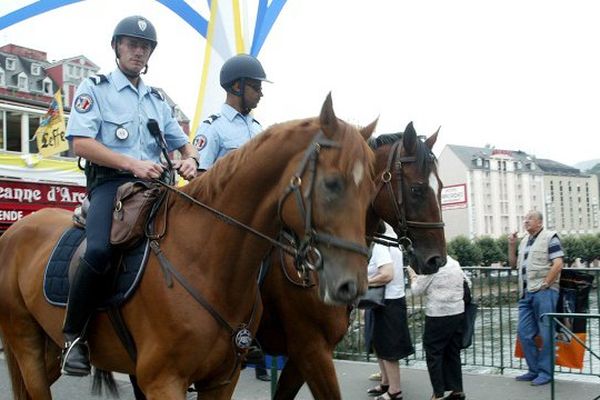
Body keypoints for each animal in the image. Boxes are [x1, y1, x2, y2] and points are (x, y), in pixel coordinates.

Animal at [0, 94, 378, 400]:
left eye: (371, 190)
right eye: (332, 184)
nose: (352, 286)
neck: (205, 262)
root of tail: (14, 231)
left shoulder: (222, 380)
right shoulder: (165, 381)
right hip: (26, 341)